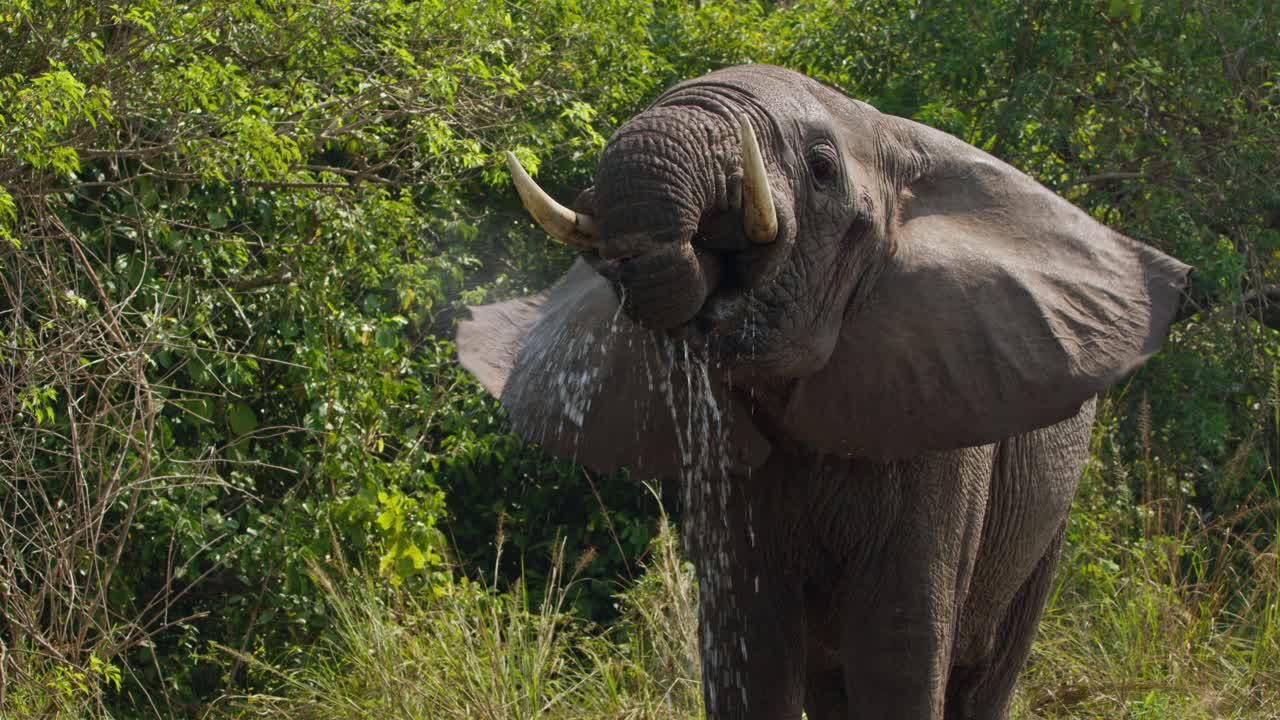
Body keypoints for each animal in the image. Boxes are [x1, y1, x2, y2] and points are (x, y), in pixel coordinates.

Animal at [456, 65, 1190, 719]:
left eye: (821, 168)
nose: (626, 255)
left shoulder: (939, 417)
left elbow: (899, 645)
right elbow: (750, 643)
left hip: (1048, 517)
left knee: (986, 675)